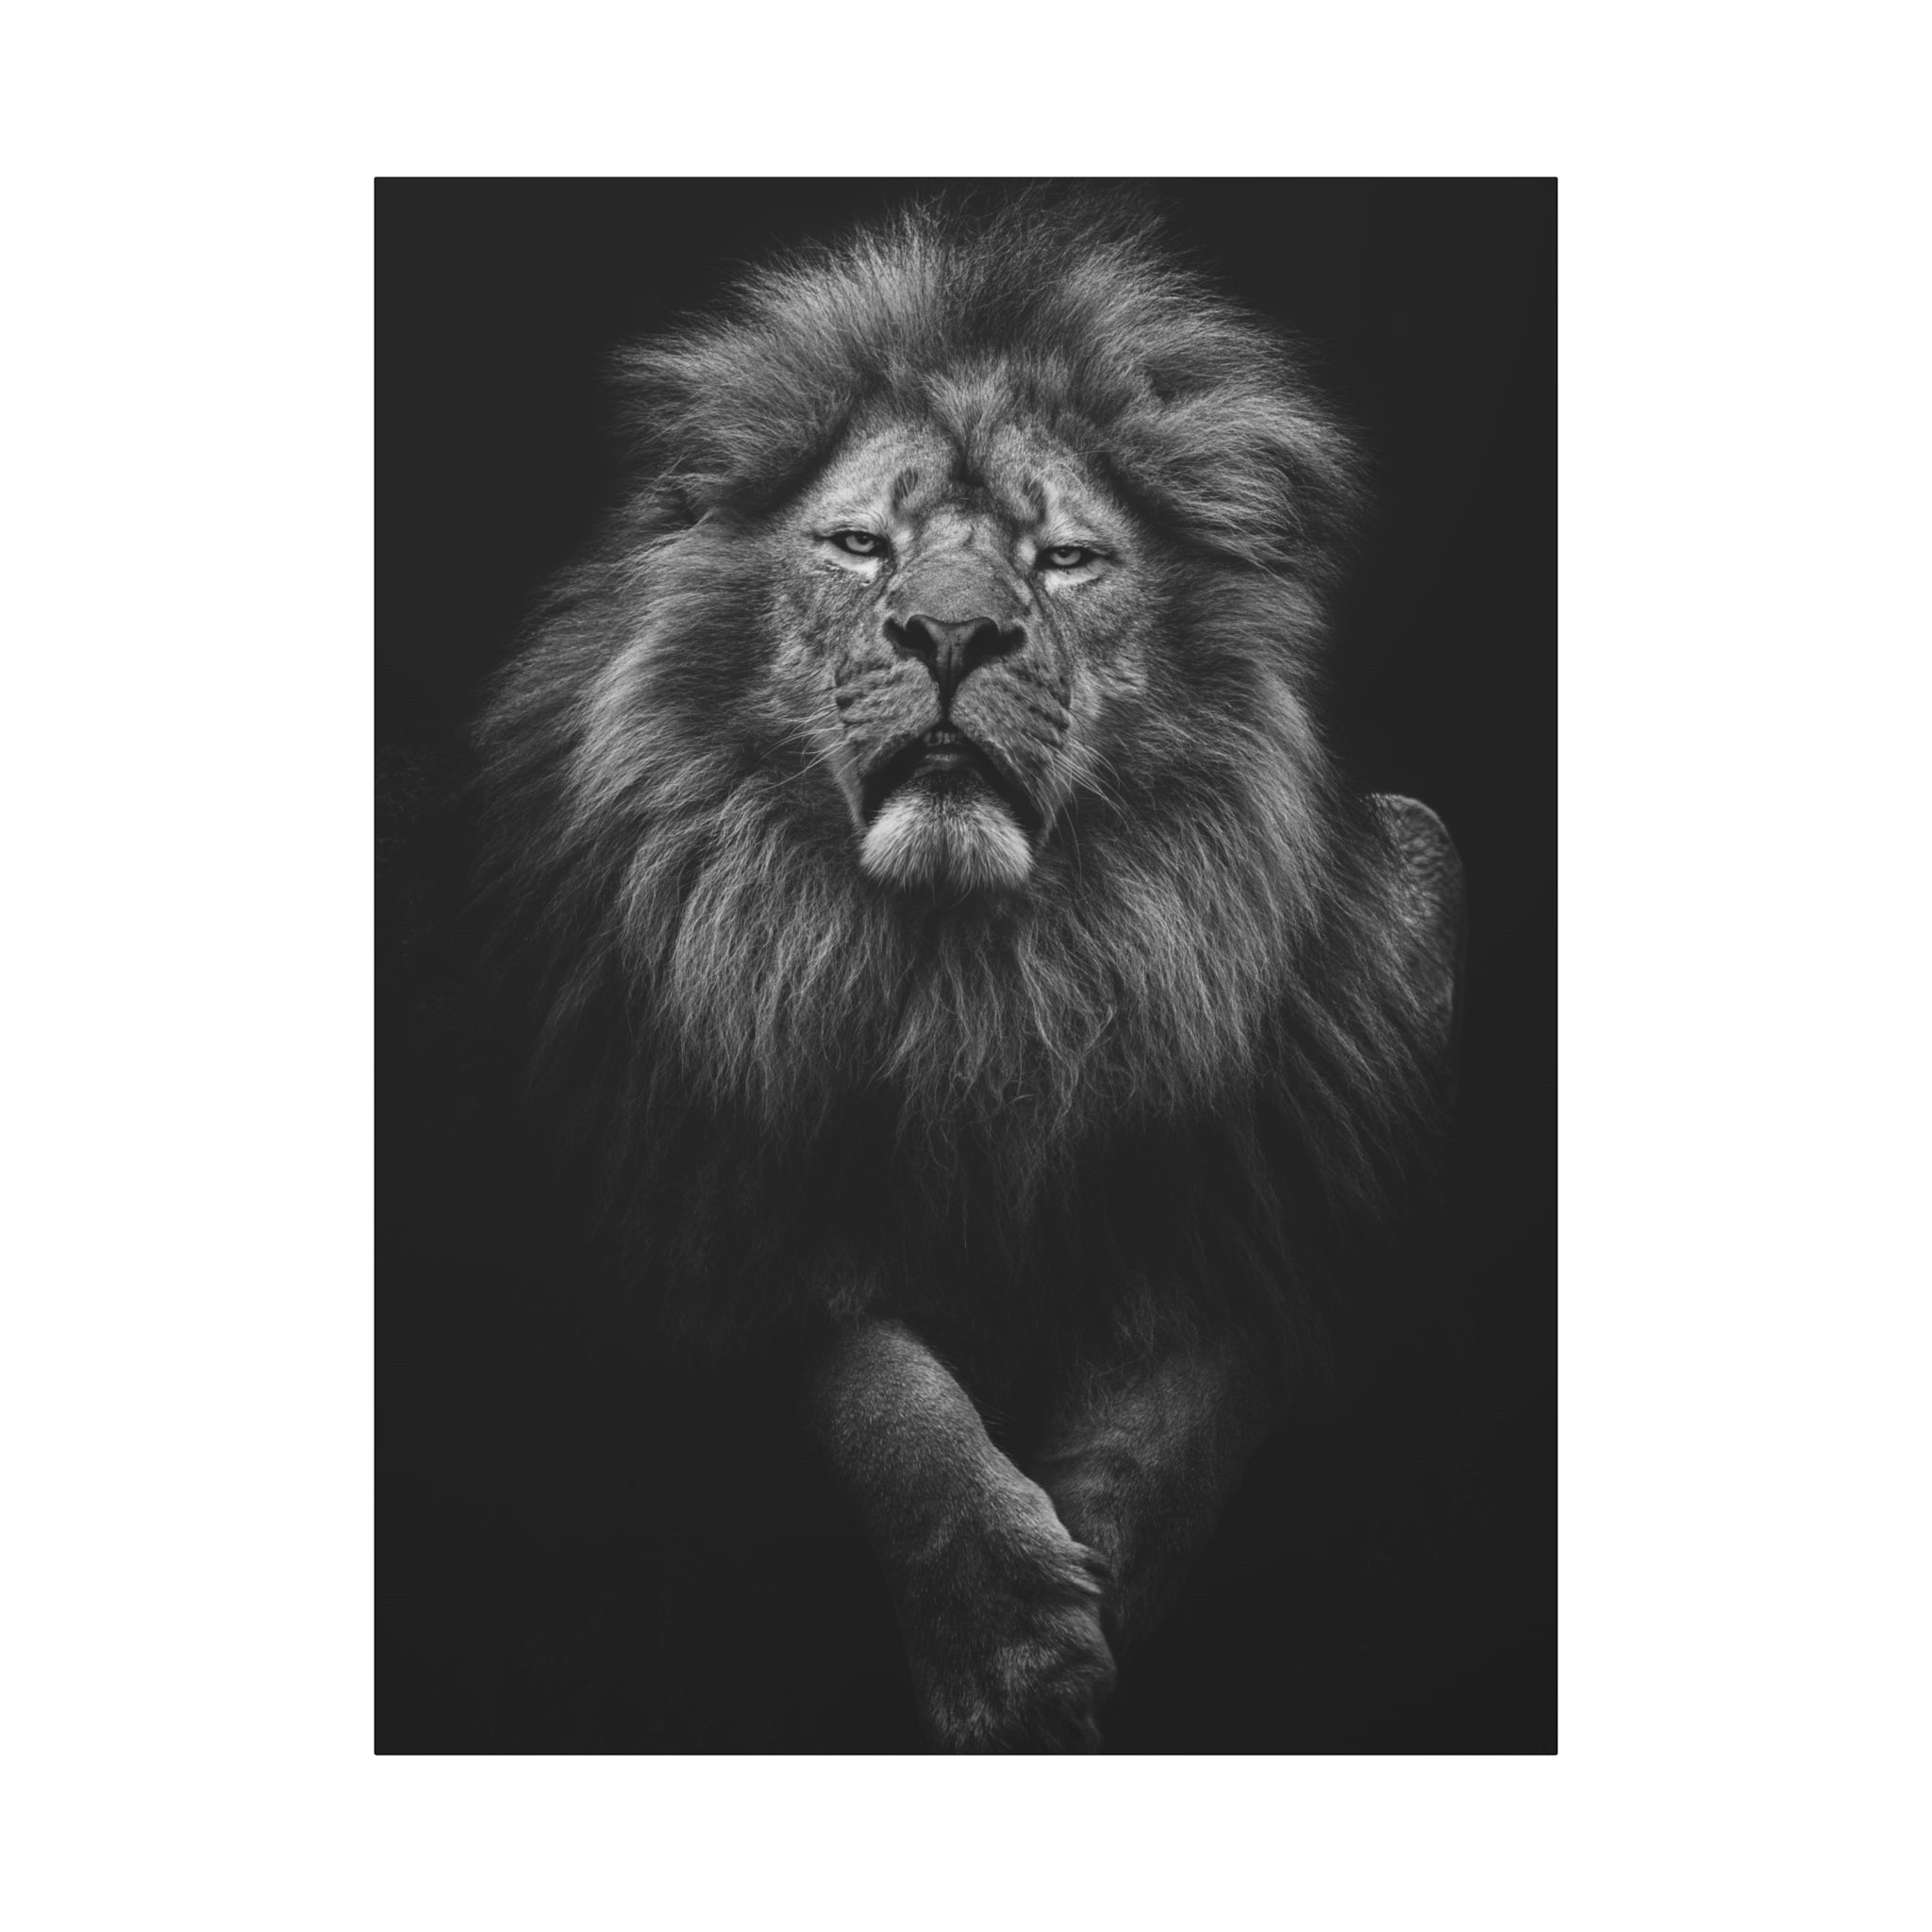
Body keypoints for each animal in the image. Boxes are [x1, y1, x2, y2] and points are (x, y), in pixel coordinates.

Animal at [475, 194, 1462, 1752]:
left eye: (1064, 561)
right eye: (859, 545)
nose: (950, 633)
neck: (978, 978)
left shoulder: (1287, 1189)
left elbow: (1199, 1388)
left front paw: (1098, 1570)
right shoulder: (712, 1202)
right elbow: (879, 1387)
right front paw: (1008, 1637)